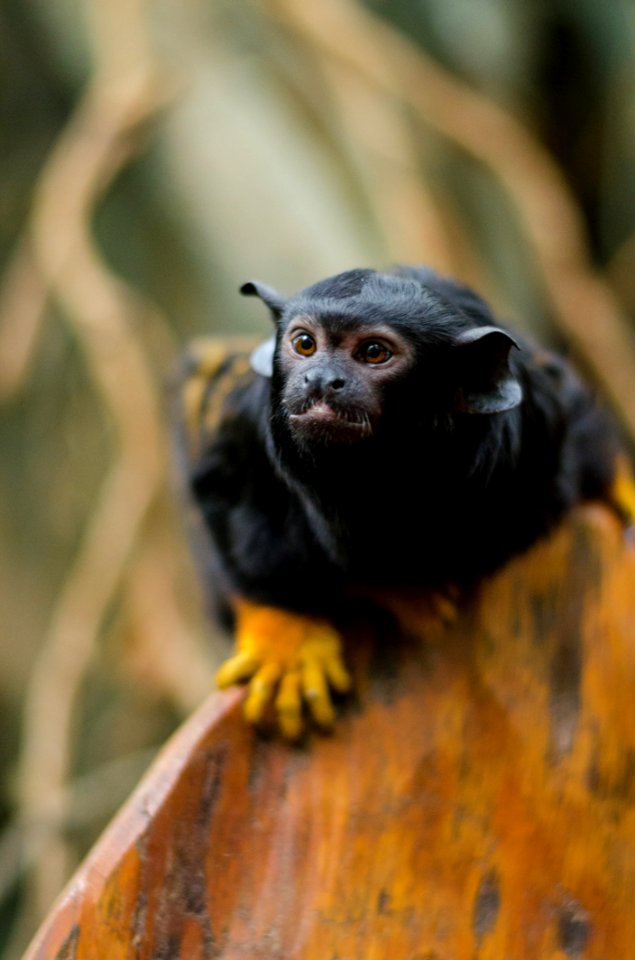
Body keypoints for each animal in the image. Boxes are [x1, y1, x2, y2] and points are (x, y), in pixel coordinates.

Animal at [180, 266, 635, 740]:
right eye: (305, 344)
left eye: (374, 353)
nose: (320, 379)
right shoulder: (244, 425)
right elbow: (224, 491)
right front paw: (287, 631)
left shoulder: (538, 426)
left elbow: (578, 418)